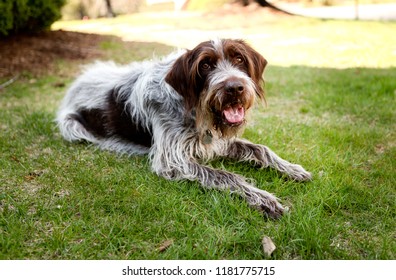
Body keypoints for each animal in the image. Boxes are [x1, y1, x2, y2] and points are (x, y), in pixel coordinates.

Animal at [55, 39, 310, 219]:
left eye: (239, 59)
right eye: (205, 65)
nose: (234, 88)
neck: (196, 112)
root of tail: (76, 83)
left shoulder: (217, 142)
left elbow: (261, 149)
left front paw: (292, 169)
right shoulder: (173, 159)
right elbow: (226, 176)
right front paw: (264, 199)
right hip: (72, 126)